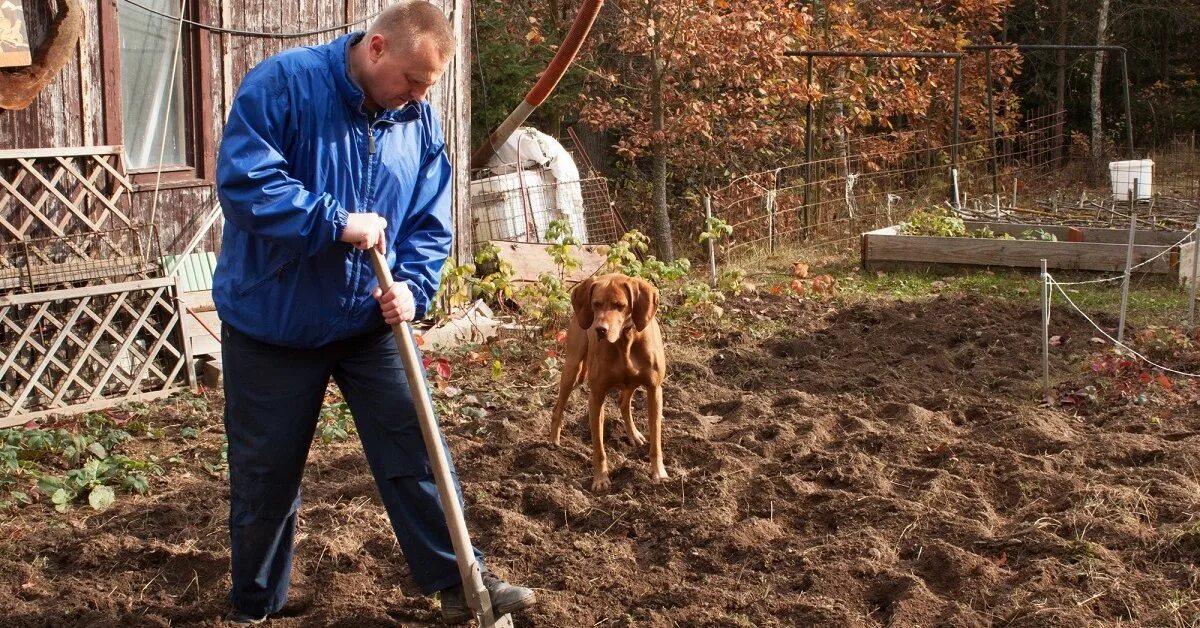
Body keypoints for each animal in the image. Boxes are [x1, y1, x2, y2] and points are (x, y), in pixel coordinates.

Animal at [549, 274, 672, 492]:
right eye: (596, 304)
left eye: (620, 305)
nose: (600, 330)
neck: (625, 340)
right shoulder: (596, 397)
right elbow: (598, 447)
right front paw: (600, 479)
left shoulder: (654, 390)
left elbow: (656, 440)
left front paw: (659, 472)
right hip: (572, 369)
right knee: (558, 406)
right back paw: (554, 439)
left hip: (630, 382)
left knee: (623, 403)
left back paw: (634, 435)